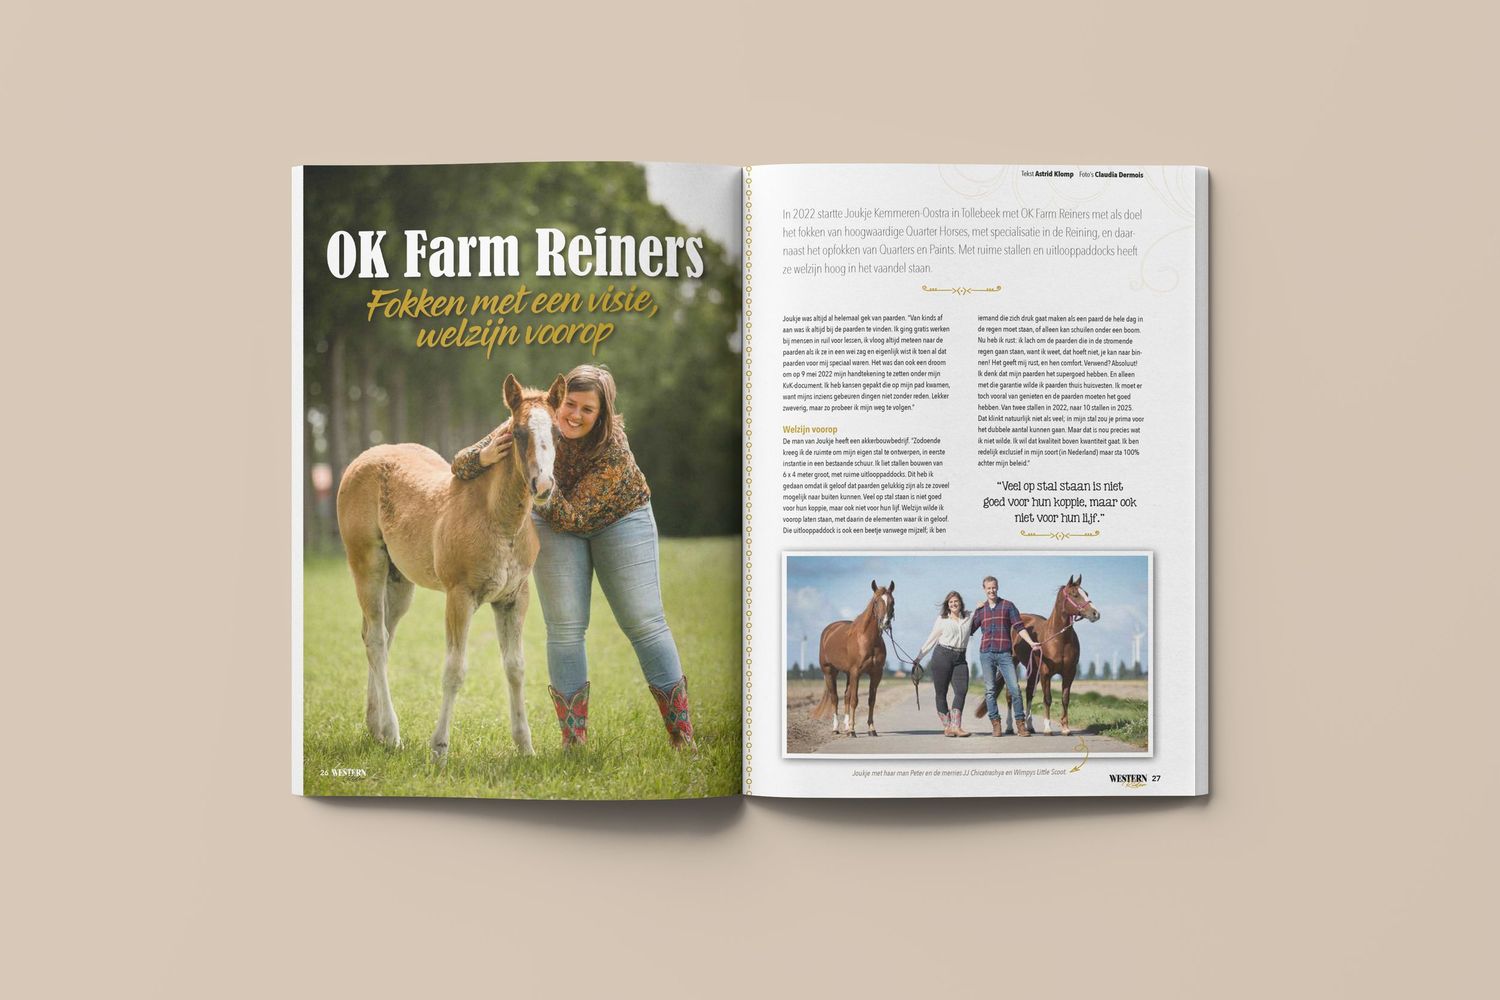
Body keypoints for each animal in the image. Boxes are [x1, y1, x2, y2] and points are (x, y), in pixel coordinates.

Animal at [335, 372, 566, 760]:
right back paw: (392, 733)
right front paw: (440, 748)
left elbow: (515, 667)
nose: (544, 486)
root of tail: (363, 458)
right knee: (378, 641)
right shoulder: (459, 596)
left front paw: (525, 746)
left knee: (377, 634)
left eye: (559, 433)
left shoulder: (514, 598)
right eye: (519, 433)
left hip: (399, 582)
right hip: (367, 564)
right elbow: (454, 670)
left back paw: (375, 728)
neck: (499, 519)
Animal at [811, 581, 894, 737]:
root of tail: (828, 631)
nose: (885, 623)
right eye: (876, 601)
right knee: (835, 698)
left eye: (892, 601)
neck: (869, 639)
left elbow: (871, 700)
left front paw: (871, 729)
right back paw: (837, 728)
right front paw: (853, 730)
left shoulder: (876, 674)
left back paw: (846, 726)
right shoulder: (856, 672)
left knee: (846, 696)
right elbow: (855, 700)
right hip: (830, 671)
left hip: (848, 674)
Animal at [975, 574, 1100, 735]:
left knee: (1029, 693)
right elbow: (1047, 699)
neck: (1059, 639)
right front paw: (1048, 728)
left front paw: (1065, 728)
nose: (1095, 613)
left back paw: (1029, 726)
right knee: (1010, 695)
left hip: (1034, 670)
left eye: (1086, 593)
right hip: (1013, 664)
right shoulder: (1046, 673)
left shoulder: (1069, 673)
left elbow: (1065, 699)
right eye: (1074, 594)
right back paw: (1009, 727)